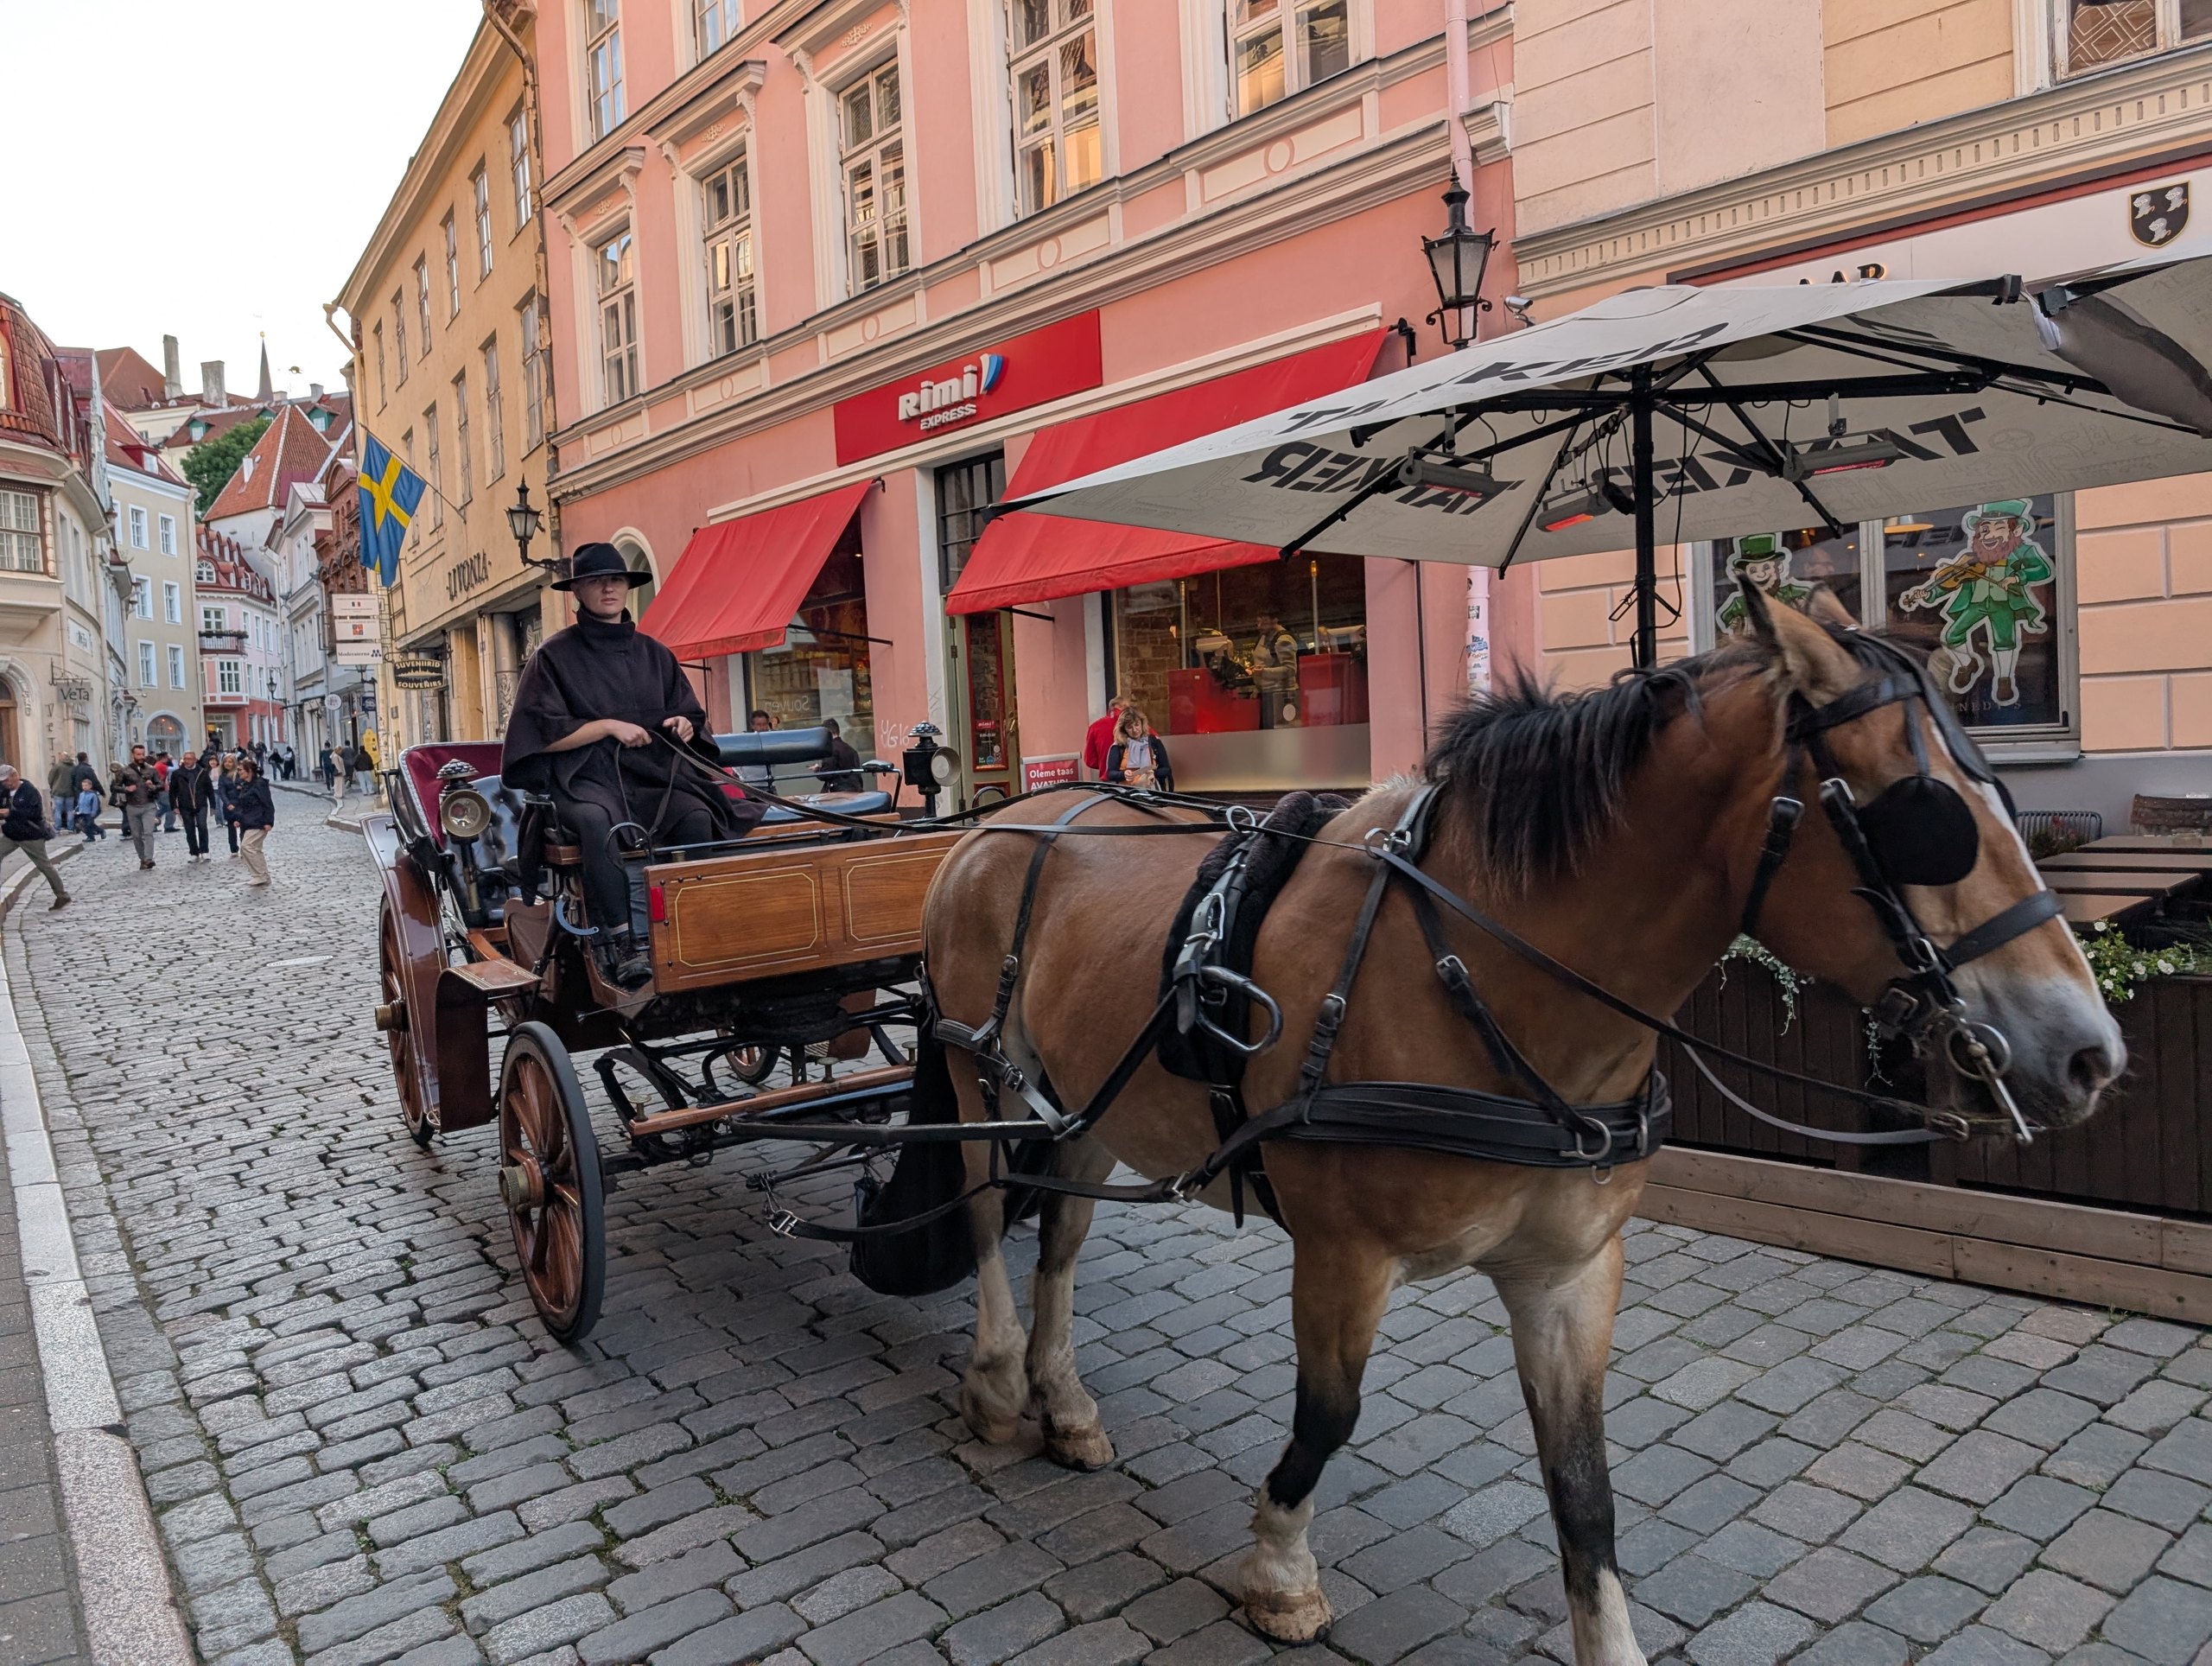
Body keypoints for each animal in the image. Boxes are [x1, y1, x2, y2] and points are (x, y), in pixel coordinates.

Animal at [916, 584, 2123, 1665]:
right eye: (1923, 817)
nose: (2091, 1051)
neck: (1477, 969)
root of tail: (992, 824)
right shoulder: (1342, 1253)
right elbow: (1327, 1416)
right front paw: (1280, 1570)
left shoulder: (1571, 1271)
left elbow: (1583, 1485)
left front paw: (1610, 1639)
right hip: (982, 1076)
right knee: (983, 1211)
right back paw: (998, 1379)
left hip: (1086, 1098)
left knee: (1061, 1236)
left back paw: (1064, 1397)